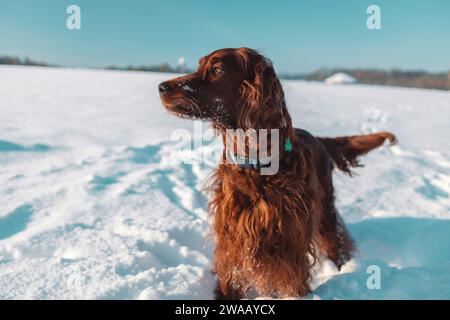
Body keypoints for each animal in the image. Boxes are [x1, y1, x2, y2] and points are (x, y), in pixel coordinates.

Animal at [158, 47, 398, 300]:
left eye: (217, 70)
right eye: (199, 65)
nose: (161, 87)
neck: (256, 166)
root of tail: (317, 138)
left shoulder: (290, 243)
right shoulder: (231, 237)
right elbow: (228, 277)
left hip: (325, 213)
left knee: (336, 244)